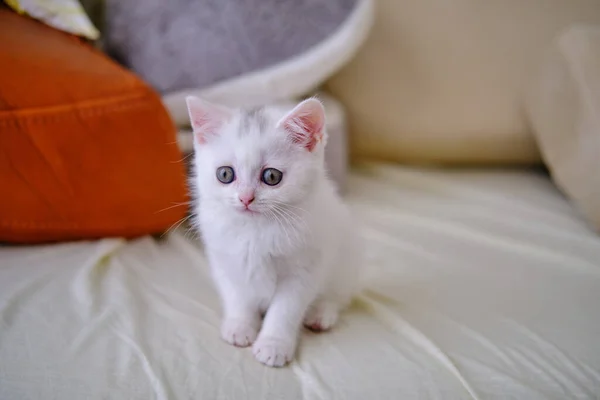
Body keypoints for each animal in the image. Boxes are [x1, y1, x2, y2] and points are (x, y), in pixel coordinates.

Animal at [185, 95, 360, 368]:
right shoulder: (226, 260)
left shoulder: (304, 270)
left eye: (271, 176)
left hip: (346, 258)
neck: (256, 230)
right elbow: (237, 296)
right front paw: (240, 326)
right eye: (225, 174)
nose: (245, 198)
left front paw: (273, 345)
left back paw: (321, 314)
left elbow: (284, 310)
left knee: (339, 295)